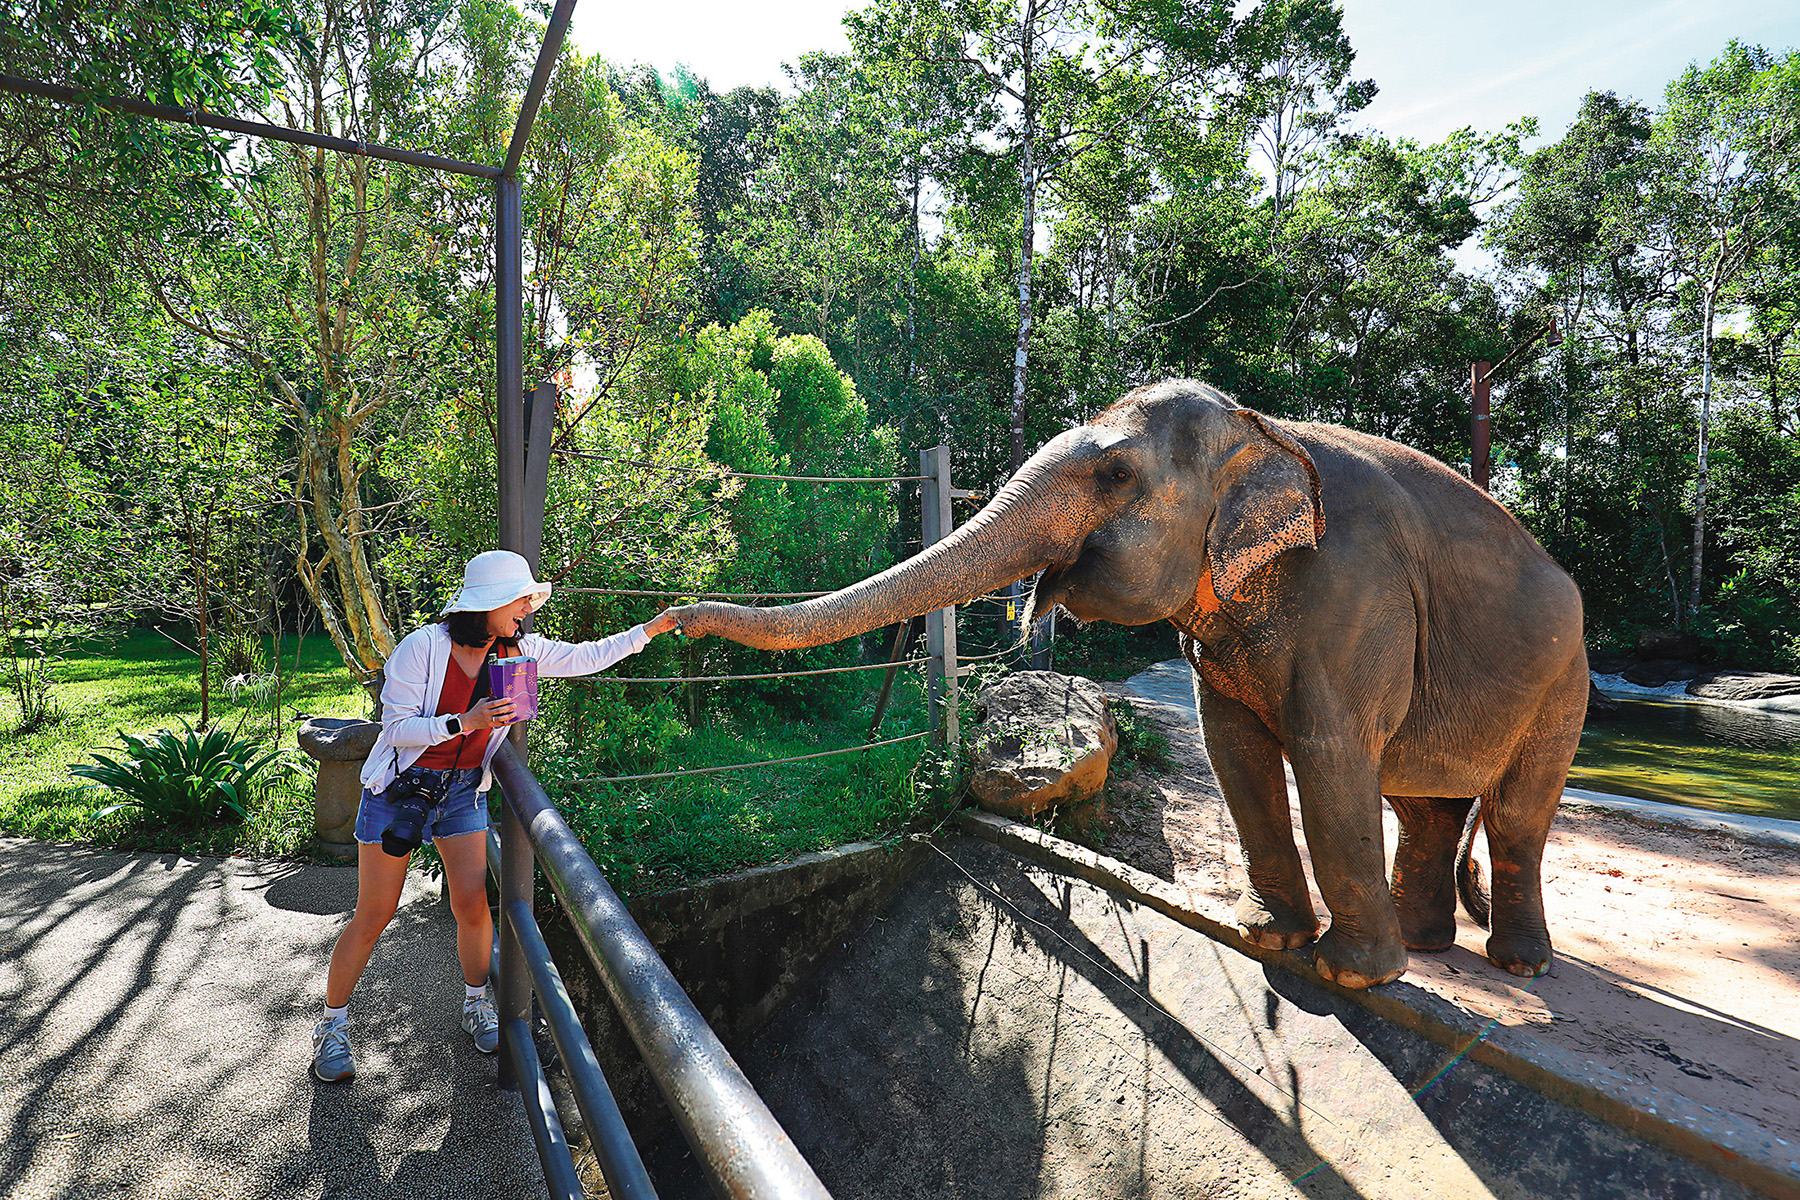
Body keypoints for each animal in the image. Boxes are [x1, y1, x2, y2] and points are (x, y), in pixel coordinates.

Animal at [673, 378, 1587, 989]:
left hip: (1564, 682)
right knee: (1425, 806)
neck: (1262, 427)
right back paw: (1431, 950)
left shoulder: (1354, 597)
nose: (673, 619)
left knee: (1514, 814)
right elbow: (1233, 752)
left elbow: (1329, 754)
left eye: (1113, 477)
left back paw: (1516, 965)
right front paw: (1268, 940)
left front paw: (1349, 977)